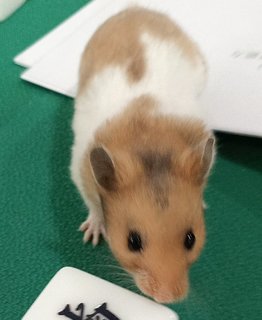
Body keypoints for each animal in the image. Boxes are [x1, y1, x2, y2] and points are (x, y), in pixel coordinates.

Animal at [70, 6, 215, 304]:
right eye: (132, 241)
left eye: (191, 238)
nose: (168, 299)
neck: (147, 140)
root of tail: (134, 8)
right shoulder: (78, 169)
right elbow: (93, 206)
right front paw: (91, 236)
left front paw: (204, 203)